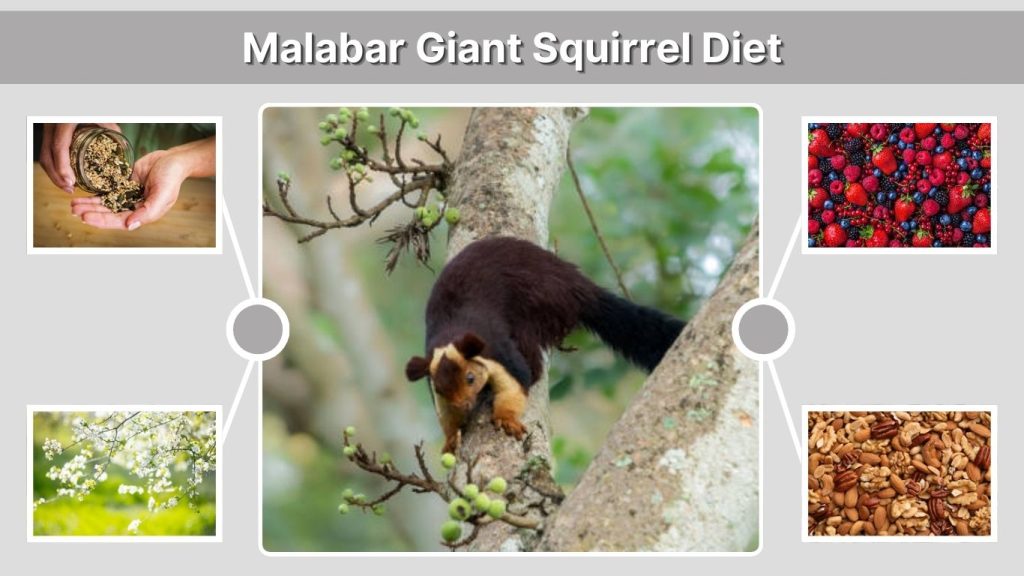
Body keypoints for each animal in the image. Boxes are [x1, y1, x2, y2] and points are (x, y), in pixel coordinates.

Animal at [405, 236, 685, 453]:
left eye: (471, 378)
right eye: (440, 389)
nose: (464, 404)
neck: (451, 334)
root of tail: (579, 287)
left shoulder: (499, 352)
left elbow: (517, 383)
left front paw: (506, 419)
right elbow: (446, 416)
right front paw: (451, 438)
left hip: (538, 306)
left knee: (533, 362)